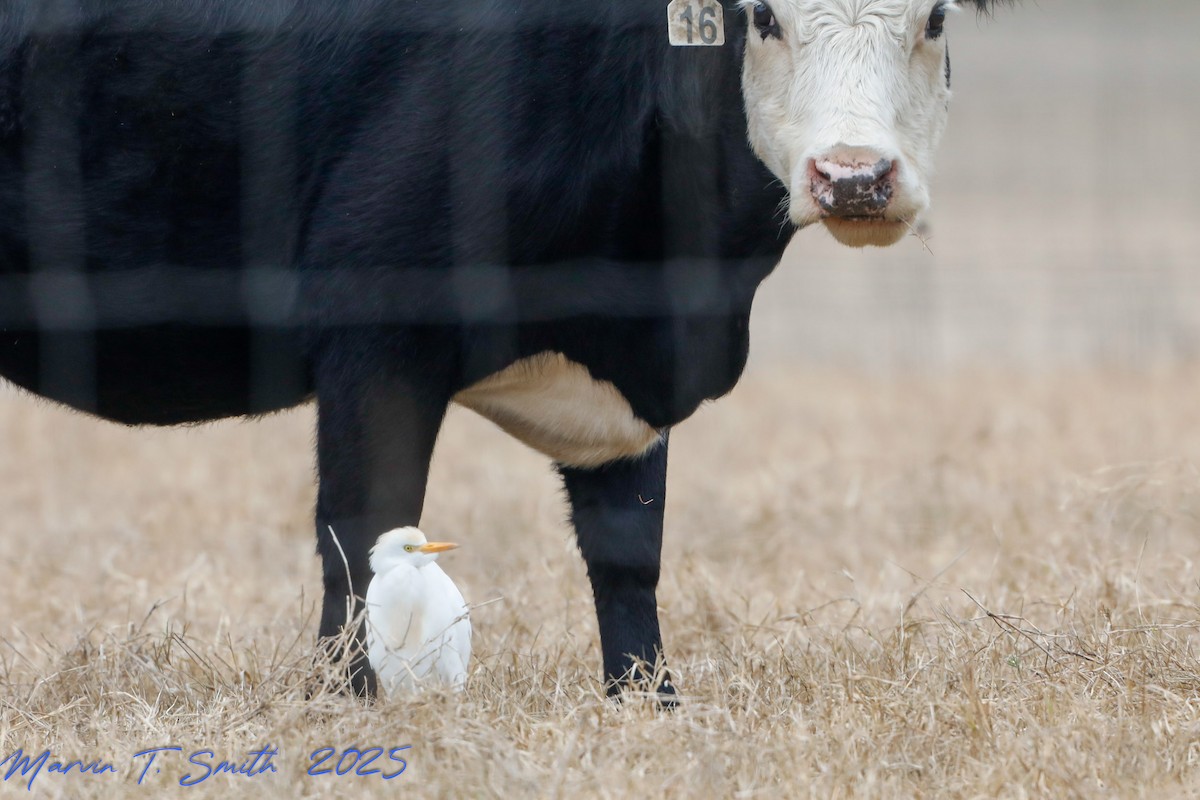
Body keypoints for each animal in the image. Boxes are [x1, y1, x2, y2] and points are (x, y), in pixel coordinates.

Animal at [0, 0, 1003, 697]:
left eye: (933, 18)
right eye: (763, 18)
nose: (854, 177)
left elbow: (629, 554)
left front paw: (647, 703)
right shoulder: (377, 337)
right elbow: (362, 537)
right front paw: (346, 703)